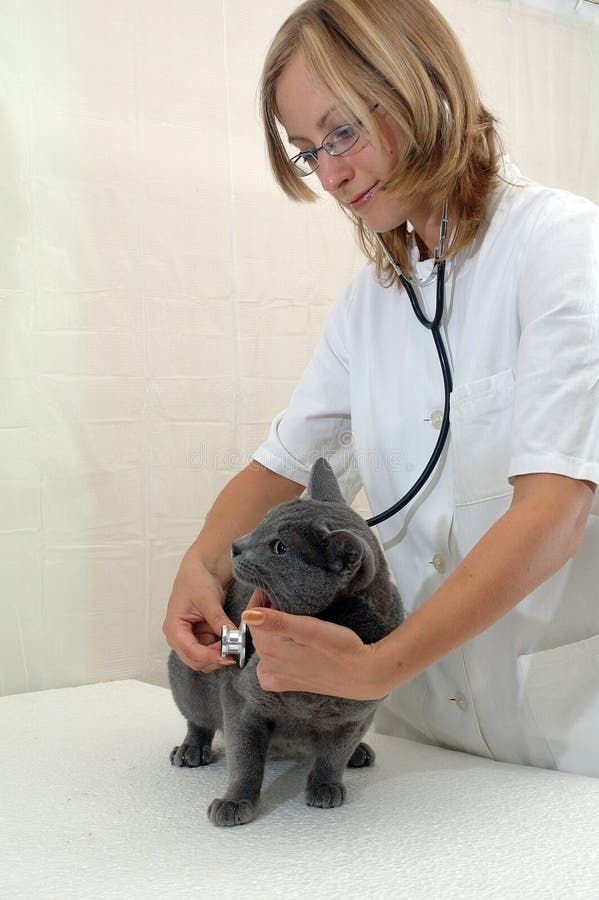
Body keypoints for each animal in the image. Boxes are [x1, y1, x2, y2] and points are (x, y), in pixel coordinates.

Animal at [166, 460, 406, 828]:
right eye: (263, 521)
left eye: (279, 547)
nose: (236, 544)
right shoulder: (241, 701)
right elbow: (245, 758)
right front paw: (235, 801)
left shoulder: (358, 715)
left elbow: (333, 755)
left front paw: (325, 786)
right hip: (186, 673)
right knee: (199, 720)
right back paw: (192, 750)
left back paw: (359, 753)